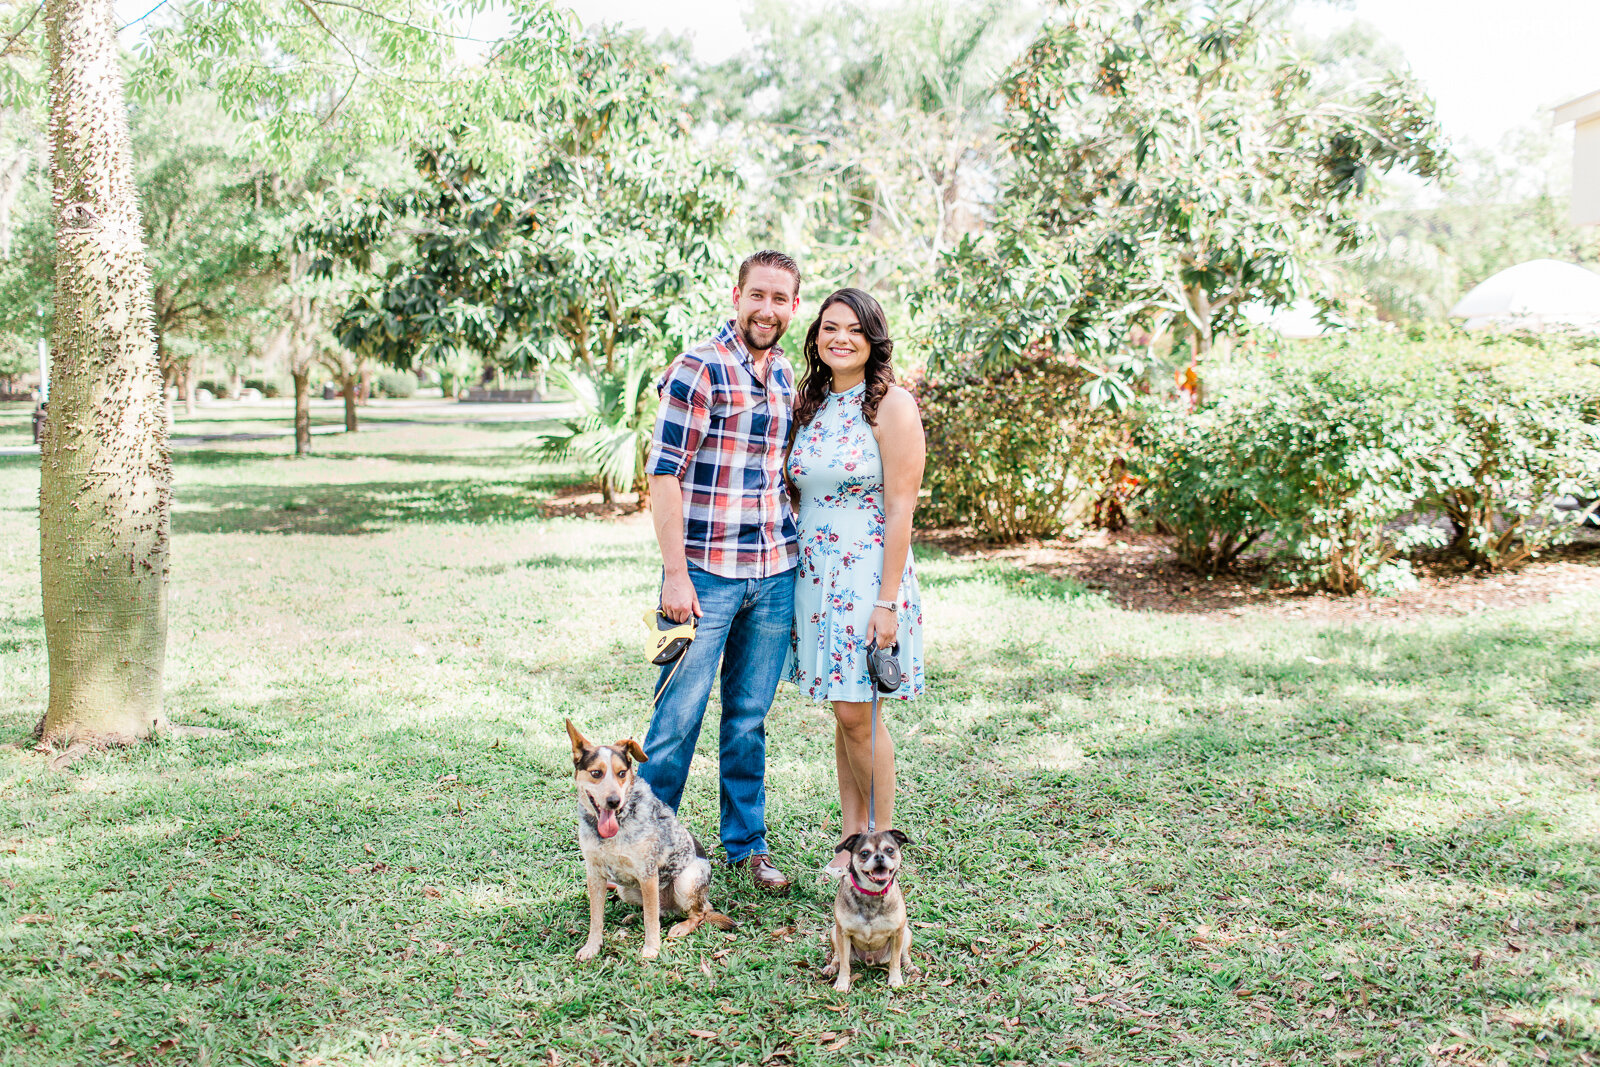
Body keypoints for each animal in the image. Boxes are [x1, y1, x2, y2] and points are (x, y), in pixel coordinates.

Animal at [566, 723, 732, 966]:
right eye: (596, 773)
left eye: (621, 773)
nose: (614, 801)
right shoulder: (594, 874)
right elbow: (596, 918)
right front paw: (592, 946)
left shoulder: (647, 874)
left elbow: (651, 920)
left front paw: (652, 948)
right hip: (627, 890)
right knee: (659, 910)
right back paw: (632, 916)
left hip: (686, 882)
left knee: (698, 913)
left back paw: (681, 927)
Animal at [825, 831, 915, 998]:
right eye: (864, 853)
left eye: (890, 850)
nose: (879, 857)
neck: (871, 893)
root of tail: (870, 960)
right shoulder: (843, 933)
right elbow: (844, 964)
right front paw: (842, 983)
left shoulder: (897, 933)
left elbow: (895, 961)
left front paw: (895, 980)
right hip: (834, 931)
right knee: (837, 957)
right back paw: (831, 967)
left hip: (906, 932)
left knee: (904, 956)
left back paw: (910, 967)